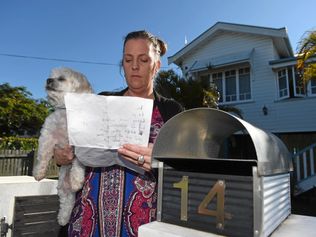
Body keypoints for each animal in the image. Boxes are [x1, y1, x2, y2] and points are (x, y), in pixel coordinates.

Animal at [33, 67, 93, 226]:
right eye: (51, 76)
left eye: (61, 78)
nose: (48, 80)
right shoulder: (47, 136)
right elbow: (43, 155)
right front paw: (39, 172)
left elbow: (78, 164)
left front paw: (77, 179)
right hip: (63, 190)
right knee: (66, 205)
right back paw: (63, 219)